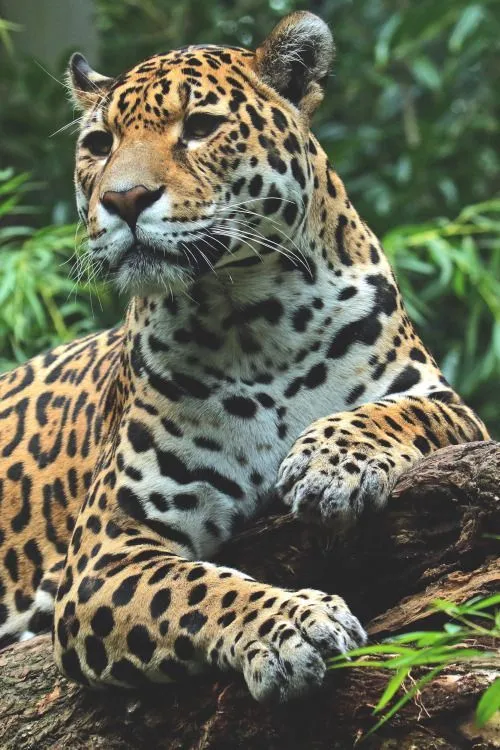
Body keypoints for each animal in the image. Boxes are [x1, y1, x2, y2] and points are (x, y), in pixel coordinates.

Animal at [0, 12, 489, 702]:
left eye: (200, 127)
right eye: (99, 143)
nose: (122, 200)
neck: (253, 319)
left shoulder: (446, 402)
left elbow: (393, 413)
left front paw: (328, 466)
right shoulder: (105, 554)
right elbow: (194, 590)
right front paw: (295, 623)